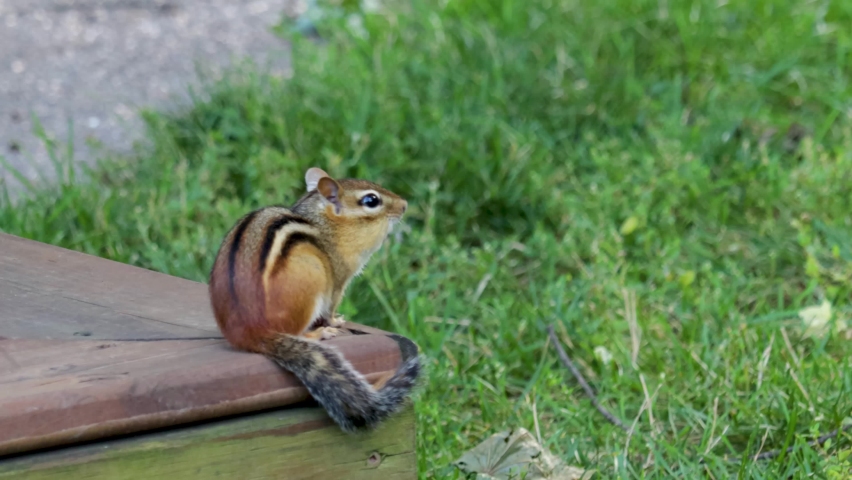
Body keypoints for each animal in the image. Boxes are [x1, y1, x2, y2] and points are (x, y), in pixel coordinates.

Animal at [208, 167, 420, 432]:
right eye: (371, 201)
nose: (405, 205)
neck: (326, 225)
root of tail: (252, 331)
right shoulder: (338, 279)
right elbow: (331, 307)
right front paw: (335, 322)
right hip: (313, 276)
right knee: (297, 331)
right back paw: (318, 334)